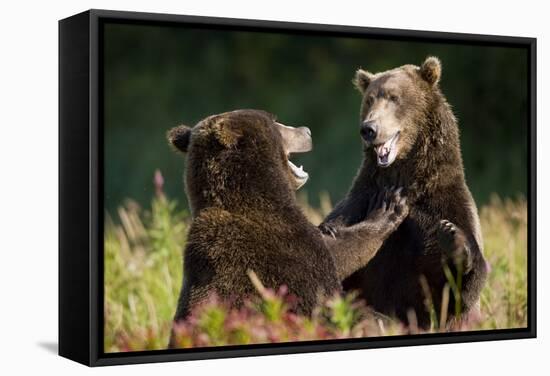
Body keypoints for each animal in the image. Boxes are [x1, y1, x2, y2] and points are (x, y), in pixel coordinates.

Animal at [322, 56, 490, 328]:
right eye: (369, 99)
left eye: (394, 97)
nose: (369, 129)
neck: (405, 179)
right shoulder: (359, 202)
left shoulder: (445, 203)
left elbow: (459, 295)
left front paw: (453, 237)